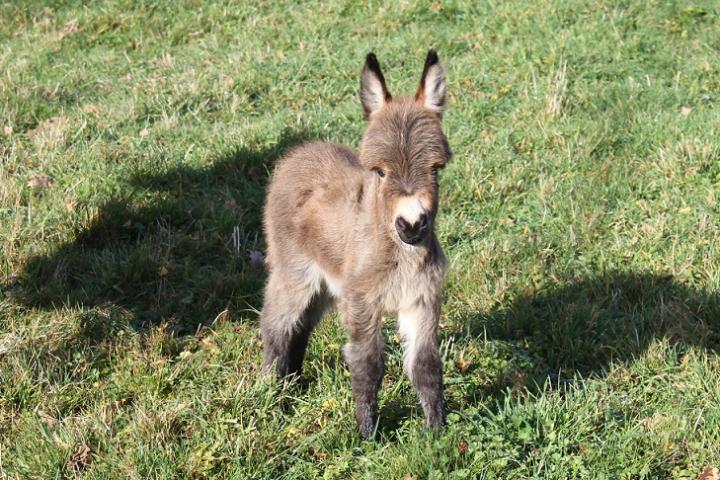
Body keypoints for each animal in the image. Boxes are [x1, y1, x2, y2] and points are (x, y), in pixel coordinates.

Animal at [262, 49, 452, 438]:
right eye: (379, 171)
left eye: (436, 168)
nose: (412, 226)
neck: (400, 256)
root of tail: (301, 151)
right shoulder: (363, 302)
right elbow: (368, 364)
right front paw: (368, 434)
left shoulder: (422, 299)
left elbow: (426, 365)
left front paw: (436, 430)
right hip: (295, 274)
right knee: (277, 325)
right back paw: (273, 392)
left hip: (326, 287)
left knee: (301, 327)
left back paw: (293, 383)